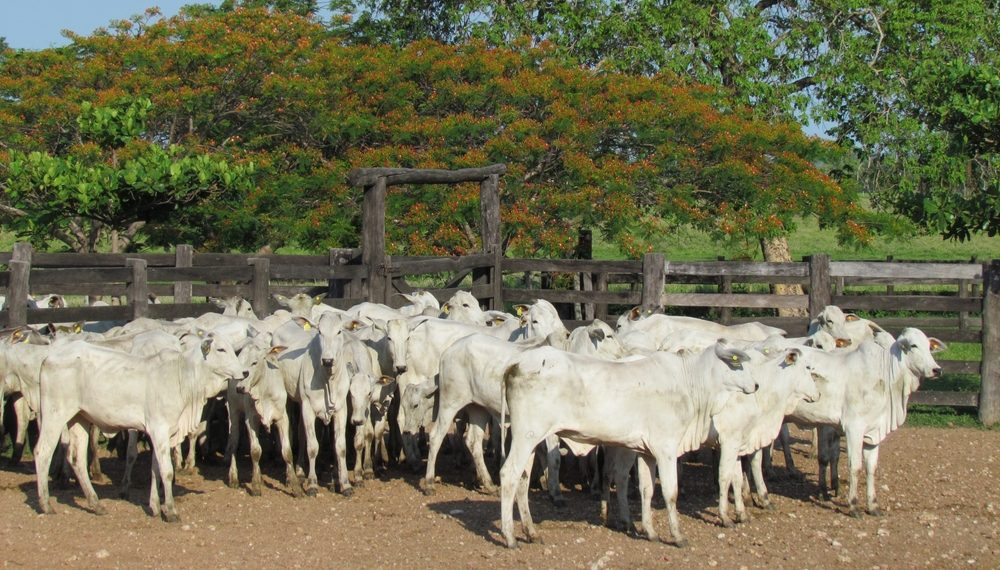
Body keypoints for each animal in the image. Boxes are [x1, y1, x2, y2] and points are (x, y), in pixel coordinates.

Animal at [500, 340, 756, 544]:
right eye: (738, 363)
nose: (756, 385)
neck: (690, 384)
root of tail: (517, 362)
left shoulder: (646, 451)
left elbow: (646, 489)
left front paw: (650, 532)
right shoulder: (666, 448)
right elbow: (670, 492)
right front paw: (677, 536)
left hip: (531, 440)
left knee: (522, 479)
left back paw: (531, 532)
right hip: (526, 435)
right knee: (508, 474)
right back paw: (510, 536)